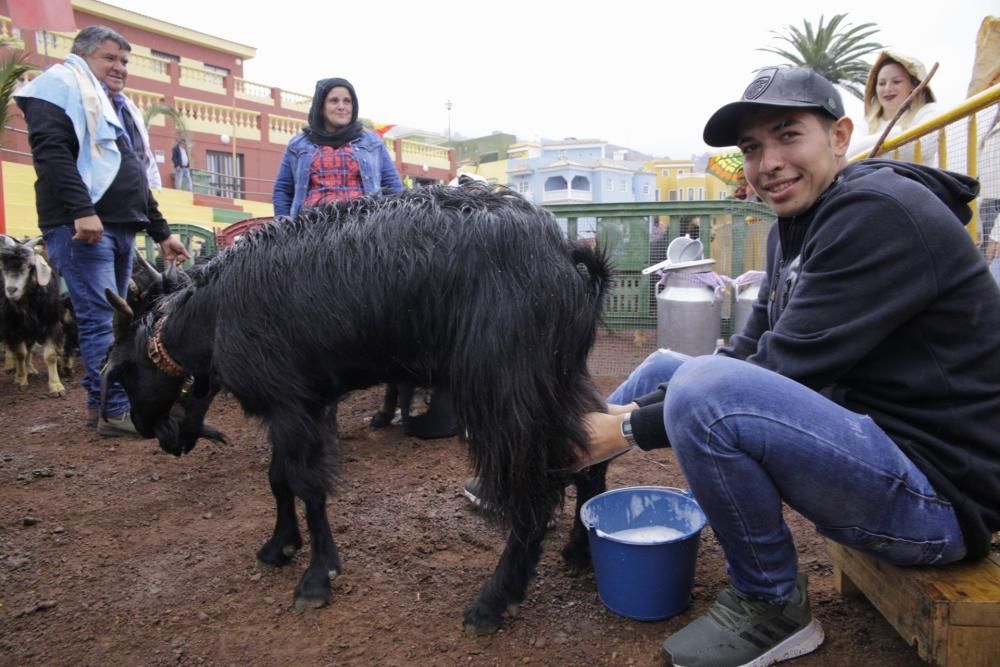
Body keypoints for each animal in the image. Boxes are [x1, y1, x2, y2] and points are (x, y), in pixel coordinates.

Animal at [0, 236, 67, 396]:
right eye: (4, 267)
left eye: (28, 265)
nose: (11, 290)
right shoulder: (13, 326)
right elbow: (20, 353)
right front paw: (20, 380)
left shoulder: (51, 322)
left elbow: (50, 355)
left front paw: (56, 386)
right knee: (12, 348)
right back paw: (11, 367)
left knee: (29, 347)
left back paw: (30, 369)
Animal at [105, 185, 612, 636]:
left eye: (120, 370)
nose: (153, 432)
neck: (211, 314)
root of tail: (568, 254)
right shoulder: (298, 405)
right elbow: (278, 479)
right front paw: (279, 545)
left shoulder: (291, 404)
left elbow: (307, 486)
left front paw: (317, 577)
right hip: (559, 379)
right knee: (591, 457)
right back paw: (581, 550)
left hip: (503, 388)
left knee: (535, 490)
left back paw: (493, 601)